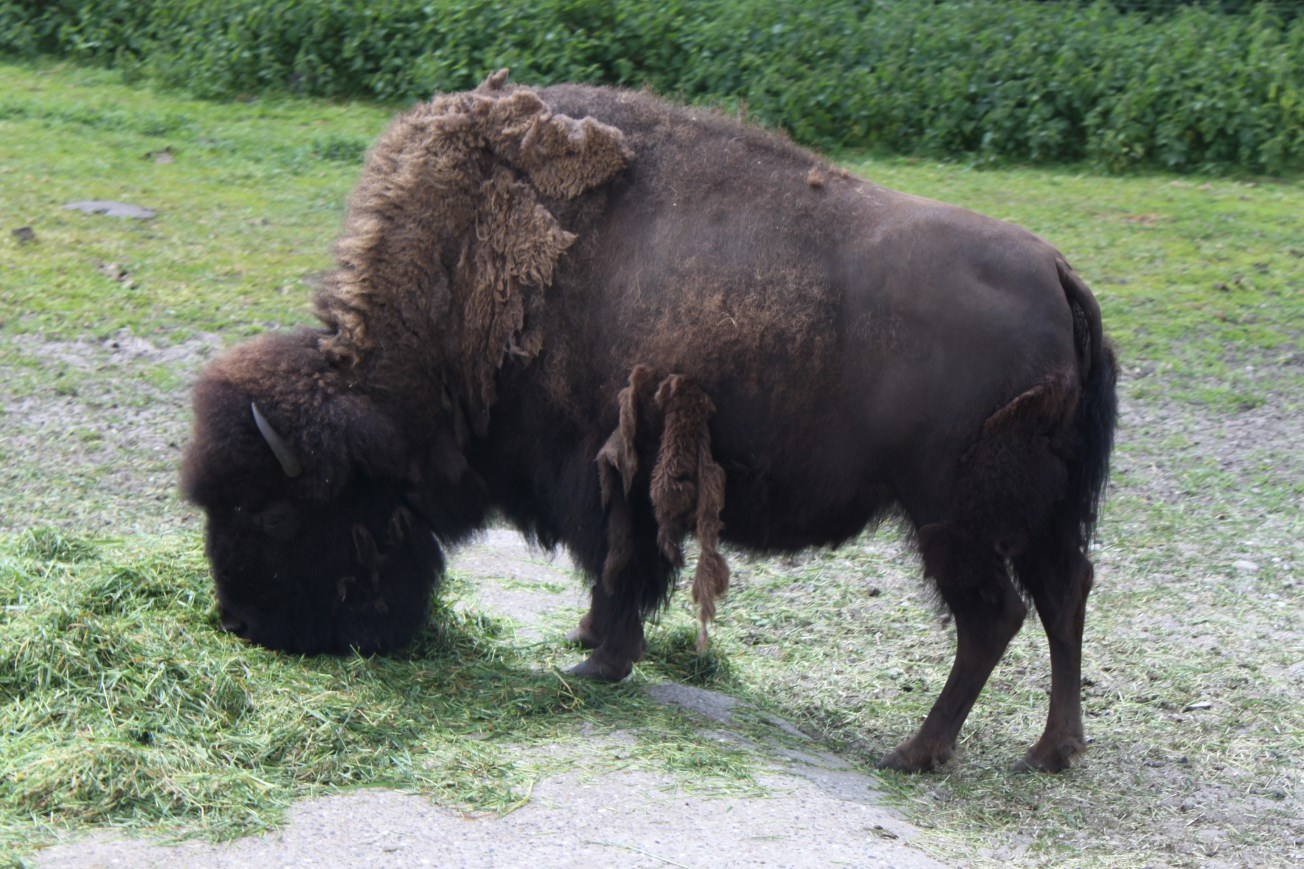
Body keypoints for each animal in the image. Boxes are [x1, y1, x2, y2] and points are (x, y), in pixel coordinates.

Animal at [182, 72, 1117, 773]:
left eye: (271, 510)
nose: (242, 623)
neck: (471, 278)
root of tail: (1058, 273)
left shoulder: (601, 474)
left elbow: (617, 563)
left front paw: (596, 659)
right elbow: (615, 571)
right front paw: (589, 638)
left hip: (954, 517)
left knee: (993, 615)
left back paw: (916, 752)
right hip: (1040, 511)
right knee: (1063, 592)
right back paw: (1051, 750)